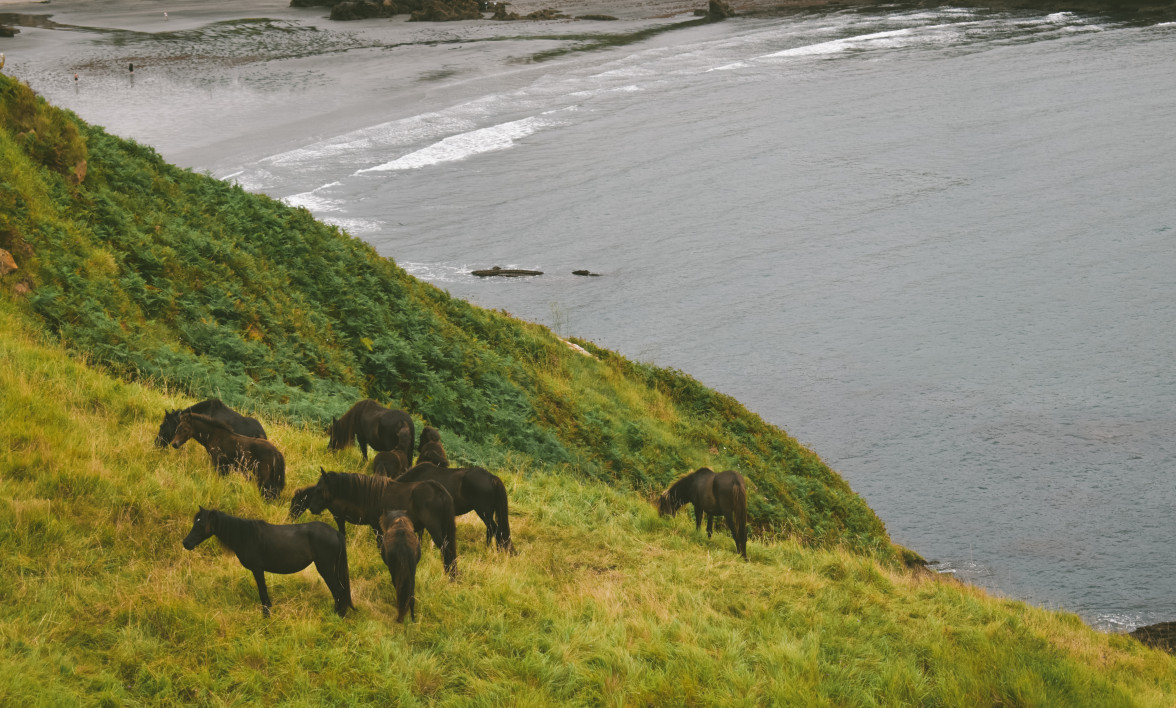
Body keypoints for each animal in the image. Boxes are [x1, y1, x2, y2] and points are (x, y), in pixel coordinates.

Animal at [178, 503, 352, 616]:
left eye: (201, 525)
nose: (186, 543)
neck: (246, 535)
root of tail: (336, 533)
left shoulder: (257, 569)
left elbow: (262, 592)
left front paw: (266, 615)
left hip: (325, 568)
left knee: (338, 591)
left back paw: (337, 616)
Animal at [290, 465, 458, 576]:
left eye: (319, 490)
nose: (313, 508)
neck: (366, 494)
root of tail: (440, 491)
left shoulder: (374, 526)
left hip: (436, 531)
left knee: (446, 551)